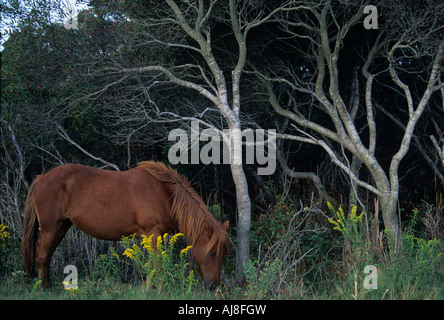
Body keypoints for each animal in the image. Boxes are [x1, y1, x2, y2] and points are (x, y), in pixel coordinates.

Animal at [21, 161, 229, 288]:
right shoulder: (152, 233)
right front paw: (158, 288)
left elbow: (153, 264)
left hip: (61, 227)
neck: (164, 193)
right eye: (212, 253)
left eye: (223, 255)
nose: (213, 286)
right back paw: (43, 289)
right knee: (42, 256)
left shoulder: (158, 236)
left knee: (46, 257)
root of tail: (42, 178)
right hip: (51, 228)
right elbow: (157, 263)